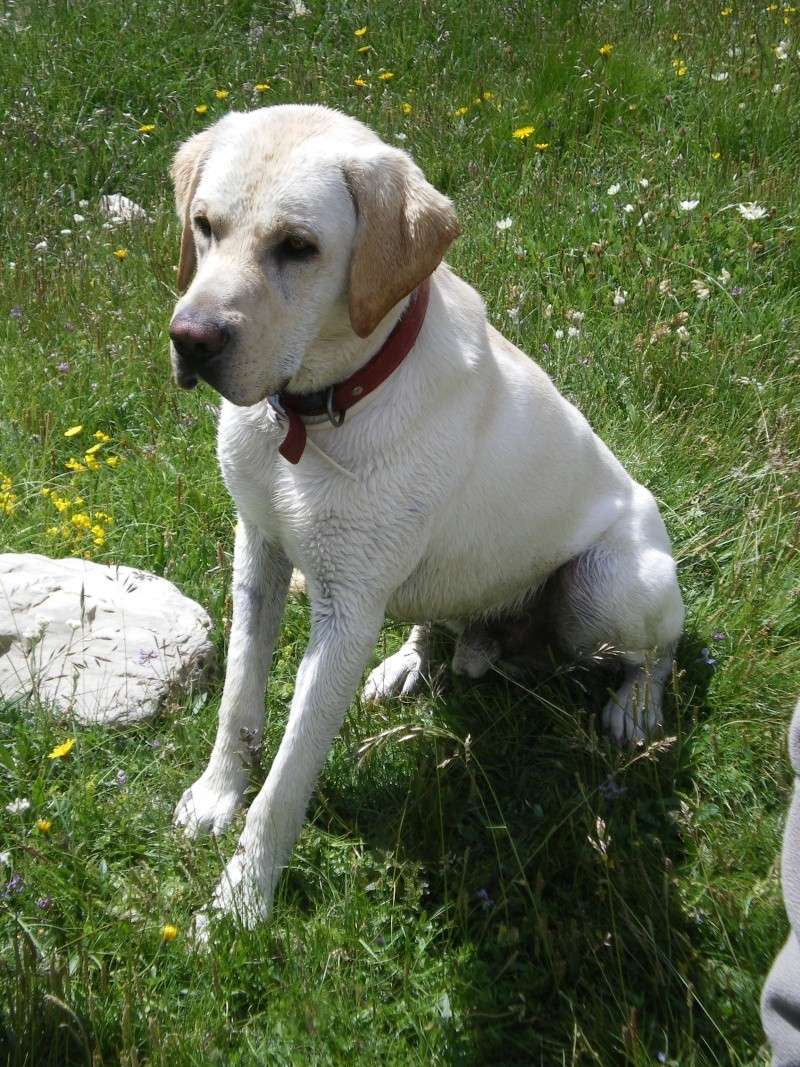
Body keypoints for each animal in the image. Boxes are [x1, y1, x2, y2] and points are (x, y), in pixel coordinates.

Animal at [167, 104, 682, 930]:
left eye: (299, 247)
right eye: (205, 225)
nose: (190, 339)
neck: (316, 414)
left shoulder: (346, 611)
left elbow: (286, 782)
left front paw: (243, 901)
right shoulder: (260, 553)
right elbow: (238, 704)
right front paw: (216, 798)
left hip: (603, 591)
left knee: (661, 647)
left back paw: (634, 707)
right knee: (439, 614)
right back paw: (412, 661)